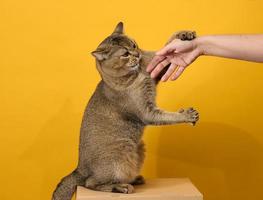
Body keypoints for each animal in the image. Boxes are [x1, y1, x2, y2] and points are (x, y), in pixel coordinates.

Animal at [52, 22, 199, 200]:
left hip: (139, 147)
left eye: (134, 45)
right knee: (90, 183)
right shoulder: (148, 112)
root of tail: (79, 169)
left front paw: (184, 34)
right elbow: (168, 117)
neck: (138, 73)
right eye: (125, 54)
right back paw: (121, 187)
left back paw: (135, 179)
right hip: (122, 150)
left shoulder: (155, 69)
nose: (137, 54)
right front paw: (188, 115)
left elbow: (165, 46)